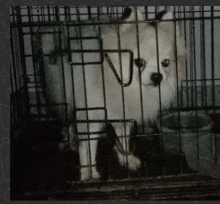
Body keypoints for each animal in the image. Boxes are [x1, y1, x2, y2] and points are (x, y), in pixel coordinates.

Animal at [39, 7, 186, 181]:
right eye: (139, 62)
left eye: (166, 63)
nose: (157, 76)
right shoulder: (90, 116)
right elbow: (87, 148)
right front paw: (88, 172)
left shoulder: (123, 115)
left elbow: (123, 141)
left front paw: (127, 159)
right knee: (68, 122)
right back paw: (70, 140)